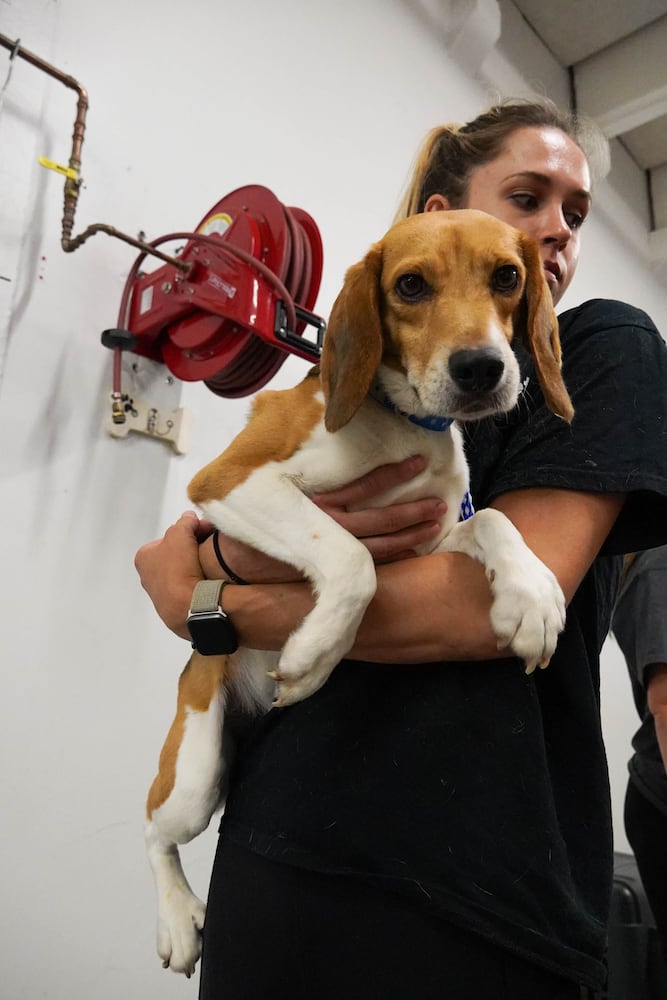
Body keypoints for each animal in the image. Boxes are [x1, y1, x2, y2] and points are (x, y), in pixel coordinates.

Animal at [145, 207, 576, 972]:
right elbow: (351, 559)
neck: (401, 420)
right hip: (193, 776)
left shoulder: (429, 540)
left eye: (507, 276)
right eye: (409, 285)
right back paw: (177, 917)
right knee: (151, 829)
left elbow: (493, 519)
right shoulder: (227, 482)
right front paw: (316, 654)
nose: (480, 369)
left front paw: (530, 596)